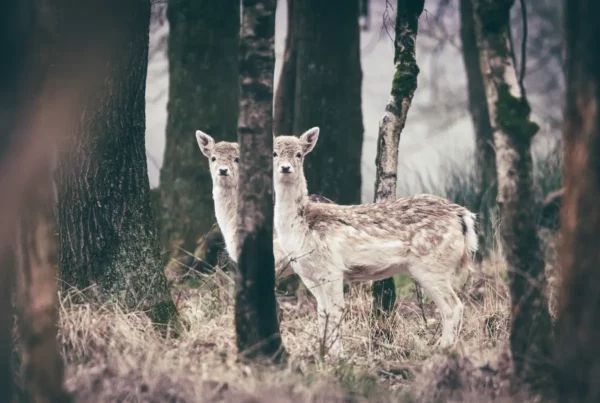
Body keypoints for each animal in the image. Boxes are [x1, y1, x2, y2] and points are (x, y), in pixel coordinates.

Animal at [274, 127, 478, 356]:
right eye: (274, 153)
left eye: (299, 154)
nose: (285, 168)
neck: (300, 227)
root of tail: (464, 217)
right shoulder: (309, 275)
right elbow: (322, 313)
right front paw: (324, 353)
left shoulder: (332, 268)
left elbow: (335, 311)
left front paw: (338, 356)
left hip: (432, 266)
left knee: (453, 307)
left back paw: (442, 349)